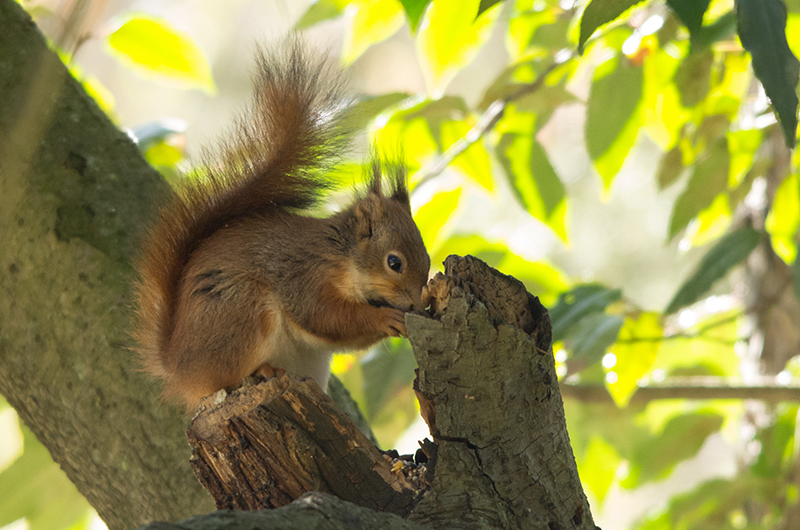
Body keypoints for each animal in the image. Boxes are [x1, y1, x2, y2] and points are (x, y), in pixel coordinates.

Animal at [133, 42, 432, 408]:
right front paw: (384, 318)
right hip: (241, 309)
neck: (343, 256)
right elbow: (323, 315)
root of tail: (178, 368)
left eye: (428, 261)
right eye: (394, 263)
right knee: (223, 378)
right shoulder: (304, 273)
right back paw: (261, 370)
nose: (415, 305)